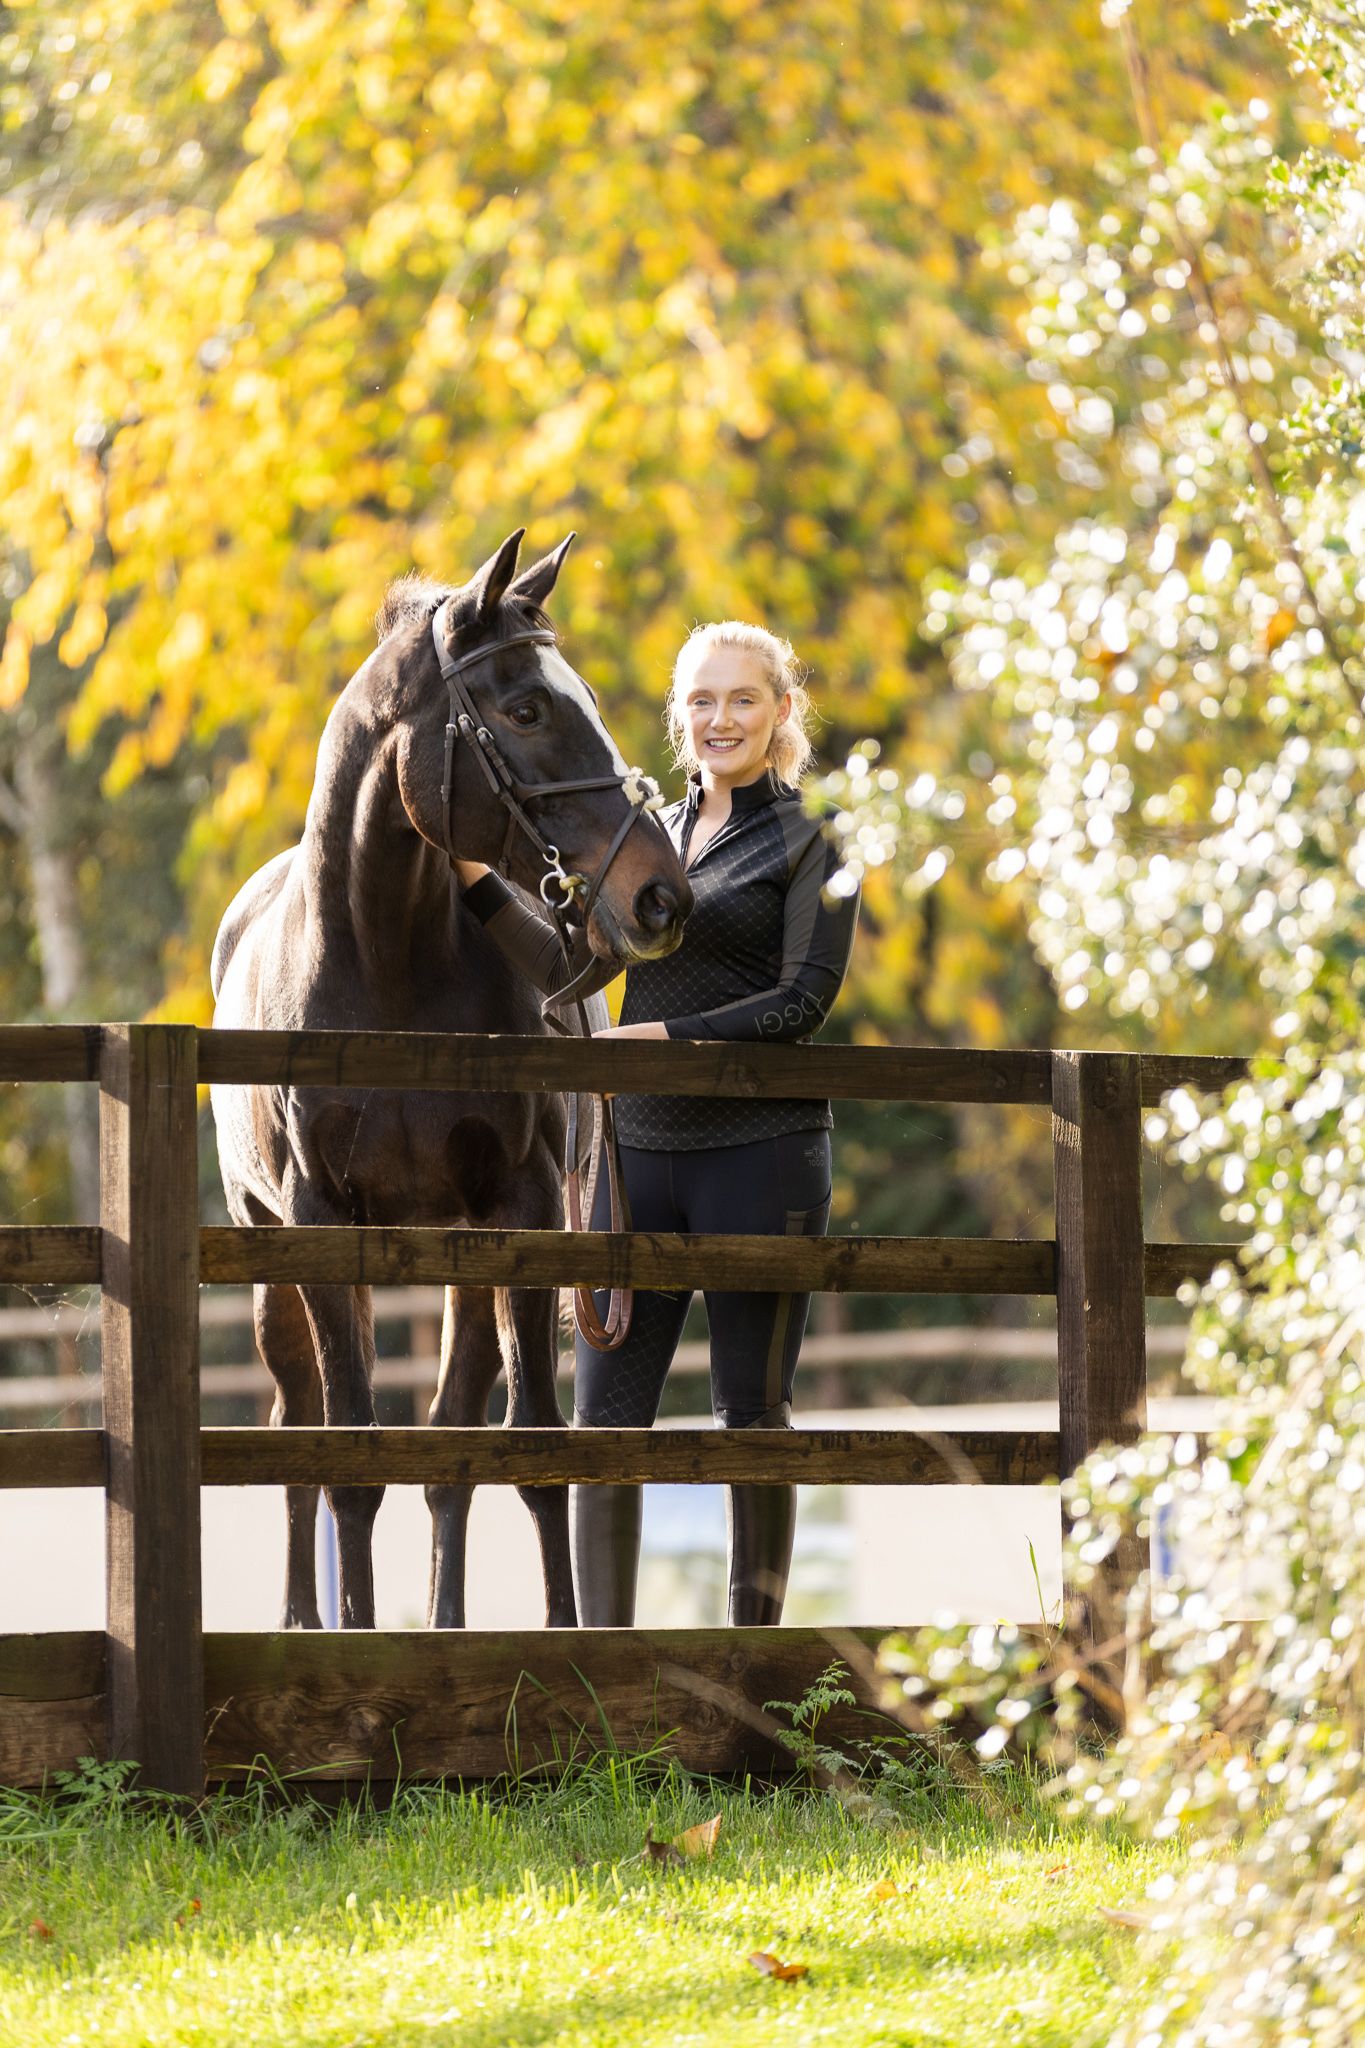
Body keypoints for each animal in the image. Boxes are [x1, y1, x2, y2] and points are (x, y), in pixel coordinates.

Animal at [209, 529, 691, 1630]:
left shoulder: (520, 1208)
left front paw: (556, 1636)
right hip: (268, 1255)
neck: (387, 963)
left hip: (464, 1254)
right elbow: (348, 1453)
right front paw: (353, 1646)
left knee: (452, 1437)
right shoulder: (318, 1220)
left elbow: (522, 1445)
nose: (661, 895)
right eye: (526, 709)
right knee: (294, 1421)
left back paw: (446, 1624)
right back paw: (303, 1620)